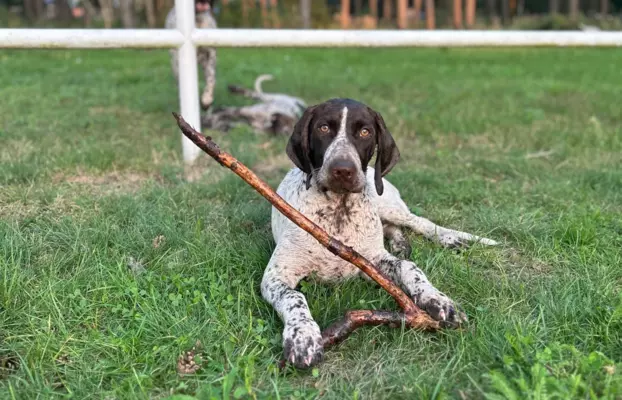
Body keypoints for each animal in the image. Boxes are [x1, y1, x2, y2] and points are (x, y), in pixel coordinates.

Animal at [260, 97, 500, 368]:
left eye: (365, 132)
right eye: (323, 128)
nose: (343, 170)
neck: (339, 211)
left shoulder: (372, 259)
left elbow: (410, 268)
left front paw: (439, 300)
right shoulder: (276, 276)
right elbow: (295, 298)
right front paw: (303, 336)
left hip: (386, 201)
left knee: (419, 222)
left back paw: (450, 239)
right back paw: (401, 244)